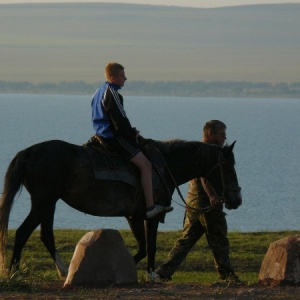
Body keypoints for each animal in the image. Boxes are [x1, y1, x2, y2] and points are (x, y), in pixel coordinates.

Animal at [0, 138, 241, 278]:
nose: (236, 199)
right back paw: (15, 272)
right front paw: (150, 275)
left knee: (46, 235)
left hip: (48, 203)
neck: (164, 165)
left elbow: (143, 248)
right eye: (229, 168)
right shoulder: (151, 216)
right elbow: (150, 247)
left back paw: (64, 270)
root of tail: (29, 152)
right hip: (43, 202)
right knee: (23, 232)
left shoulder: (133, 216)